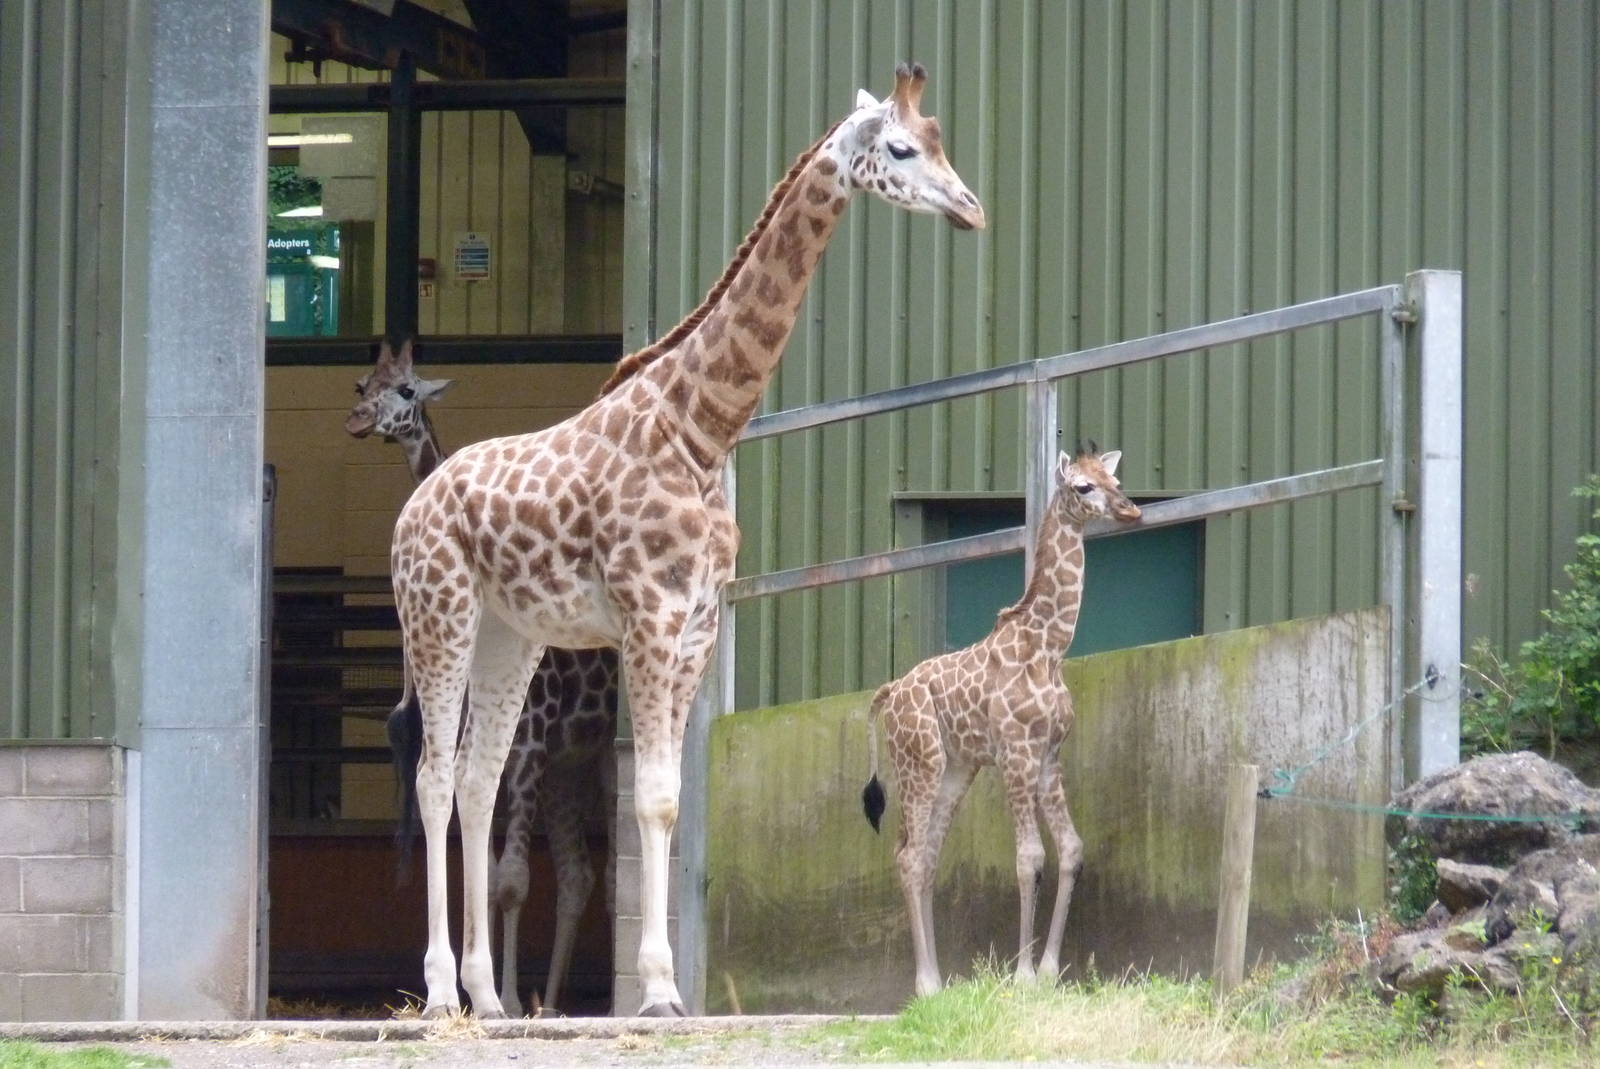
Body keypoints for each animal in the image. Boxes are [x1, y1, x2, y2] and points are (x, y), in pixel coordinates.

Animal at [346, 339, 619, 1017]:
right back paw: (550, 998)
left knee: (590, 876)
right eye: (362, 384)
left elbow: (512, 881)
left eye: (408, 389)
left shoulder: (527, 745)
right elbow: (490, 863)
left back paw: (567, 1002)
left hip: (592, 755)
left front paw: (505, 997)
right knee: (576, 873)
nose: (359, 420)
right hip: (565, 768)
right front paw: (484, 987)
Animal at [388, 62, 984, 1018]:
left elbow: (670, 798)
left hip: (508, 634)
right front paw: (658, 990)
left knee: (478, 782)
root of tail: (411, 511)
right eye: (900, 149)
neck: (701, 427)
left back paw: (488, 995)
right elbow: (651, 800)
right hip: (436, 616)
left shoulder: (698, 625)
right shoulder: (649, 617)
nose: (972, 208)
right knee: (436, 778)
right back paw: (443, 993)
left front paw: (666, 988)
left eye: (940, 143)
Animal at [860, 444, 1141, 998]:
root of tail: (890, 694)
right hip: (920, 764)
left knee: (925, 856)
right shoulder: (1015, 753)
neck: (1049, 648)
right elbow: (1029, 858)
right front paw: (1023, 976)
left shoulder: (1050, 755)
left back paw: (941, 980)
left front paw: (1050, 971)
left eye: (1116, 480)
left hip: (956, 769)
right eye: (1083, 487)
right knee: (908, 856)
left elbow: (1071, 849)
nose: (1132, 511)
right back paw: (926, 985)